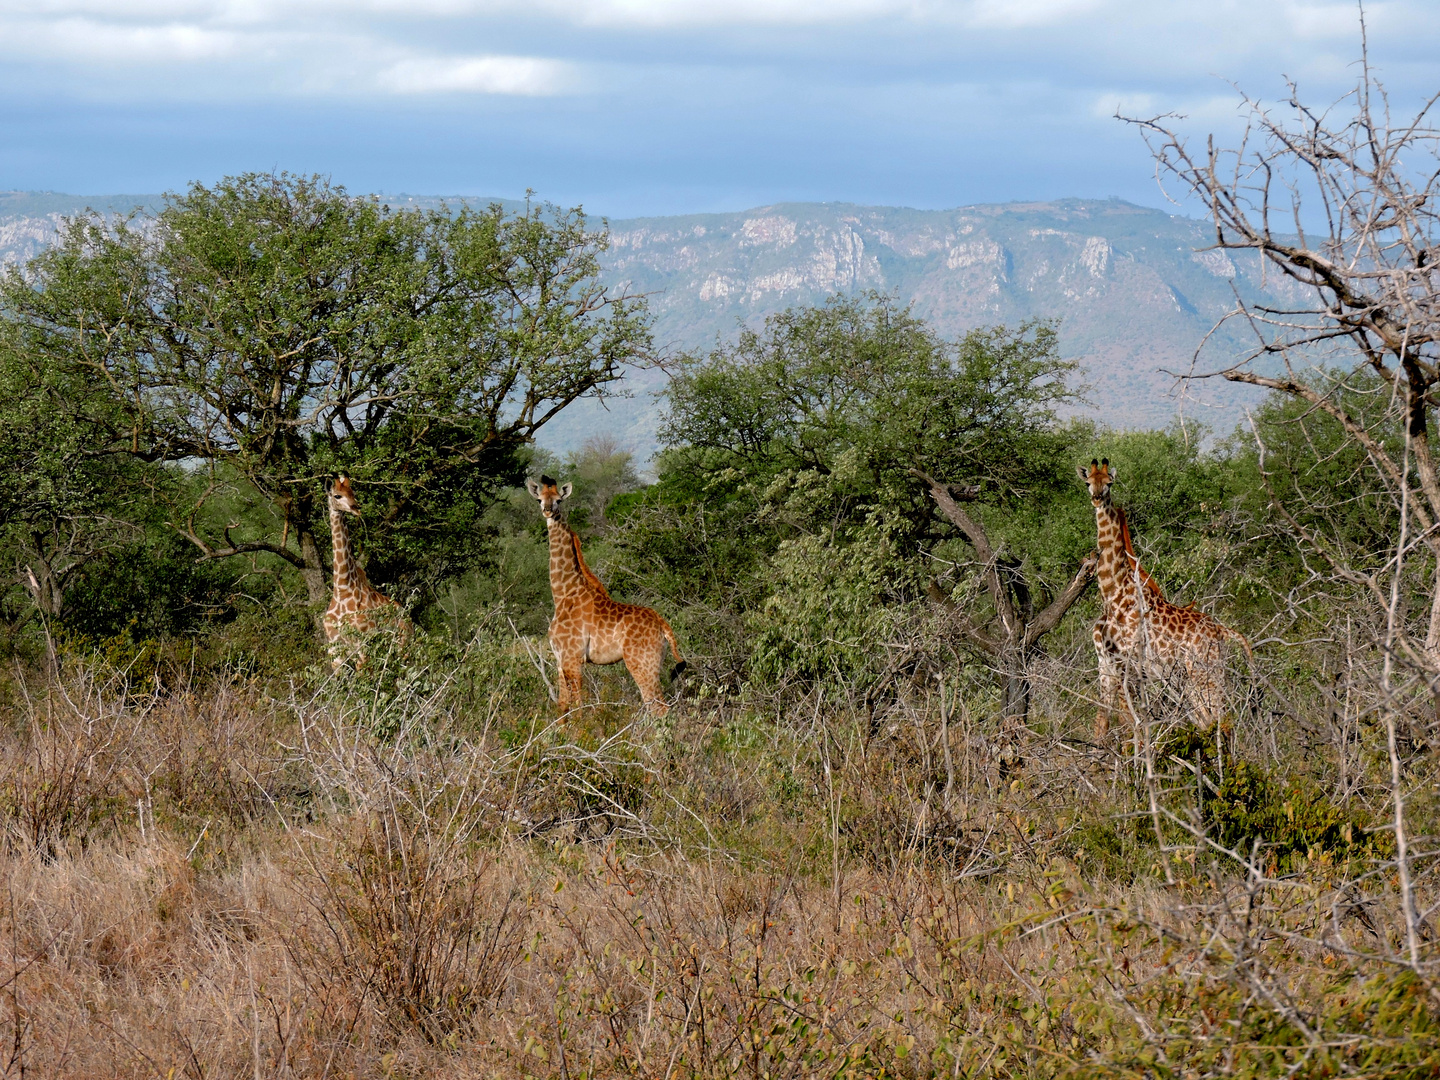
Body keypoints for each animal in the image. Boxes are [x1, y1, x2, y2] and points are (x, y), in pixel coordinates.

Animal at [324, 478, 408, 665]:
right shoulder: (335, 651)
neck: (342, 589)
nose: (356, 508)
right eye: (337, 495)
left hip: (402, 645)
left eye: (352, 492)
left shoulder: (363, 643)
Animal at [527, 475, 688, 720]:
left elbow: (579, 708)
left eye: (558, 500)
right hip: (654, 662)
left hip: (640, 662)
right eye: (539, 499)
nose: (547, 511)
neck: (563, 593)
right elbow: (563, 708)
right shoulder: (559, 660)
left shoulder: (573, 658)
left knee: (659, 707)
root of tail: (662, 624)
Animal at [1082, 457, 1249, 737]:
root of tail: (1222, 630)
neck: (1114, 592)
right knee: (1210, 718)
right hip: (1196, 675)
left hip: (1203, 673)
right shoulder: (1109, 665)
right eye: (1088, 483)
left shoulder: (1126, 664)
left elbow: (1133, 722)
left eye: (1109, 483)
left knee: (1219, 717)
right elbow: (1107, 721)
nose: (1096, 498)